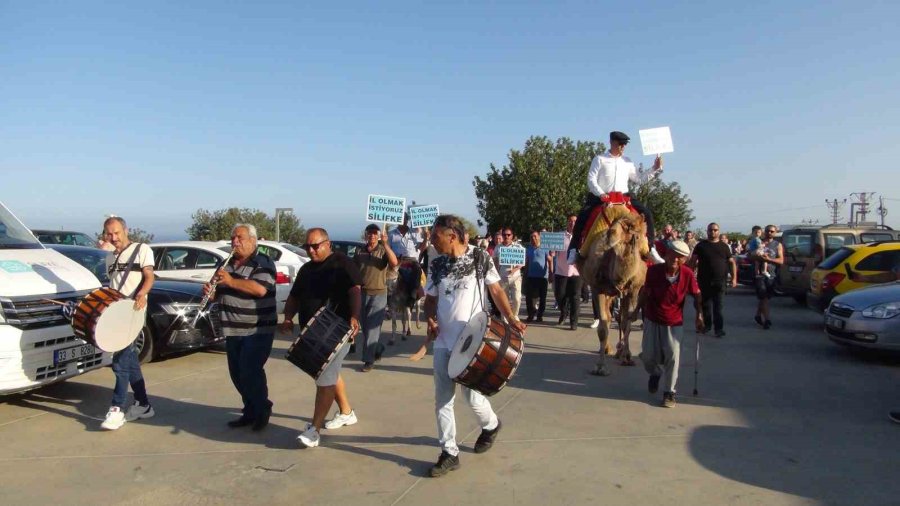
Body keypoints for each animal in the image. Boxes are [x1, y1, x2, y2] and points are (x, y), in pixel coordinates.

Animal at [576, 205, 648, 376]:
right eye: (639, 234)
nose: (646, 253)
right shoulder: (597, 288)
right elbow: (603, 326)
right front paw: (600, 367)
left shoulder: (633, 290)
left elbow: (627, 322)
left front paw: (627, 356)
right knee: (609, 318)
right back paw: (608, 349)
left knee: (621, 319)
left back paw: (619, 352)